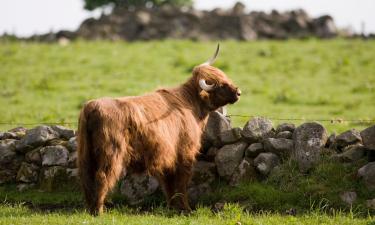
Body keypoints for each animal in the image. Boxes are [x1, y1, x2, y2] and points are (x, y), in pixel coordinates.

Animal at [77, 44, 241, 215]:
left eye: (225, 77)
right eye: (220, 84)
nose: (238, 92)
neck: (190, 104)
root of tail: (92, 106)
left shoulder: (167, 157)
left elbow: (168, 184)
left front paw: (172, 207)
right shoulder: (185, 153)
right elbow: (181, 183)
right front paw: (186, 208)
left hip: (86, 155)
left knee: (86, 178)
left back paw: (90, 209)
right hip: (111, 153)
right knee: (102, 177)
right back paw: (98, 211)